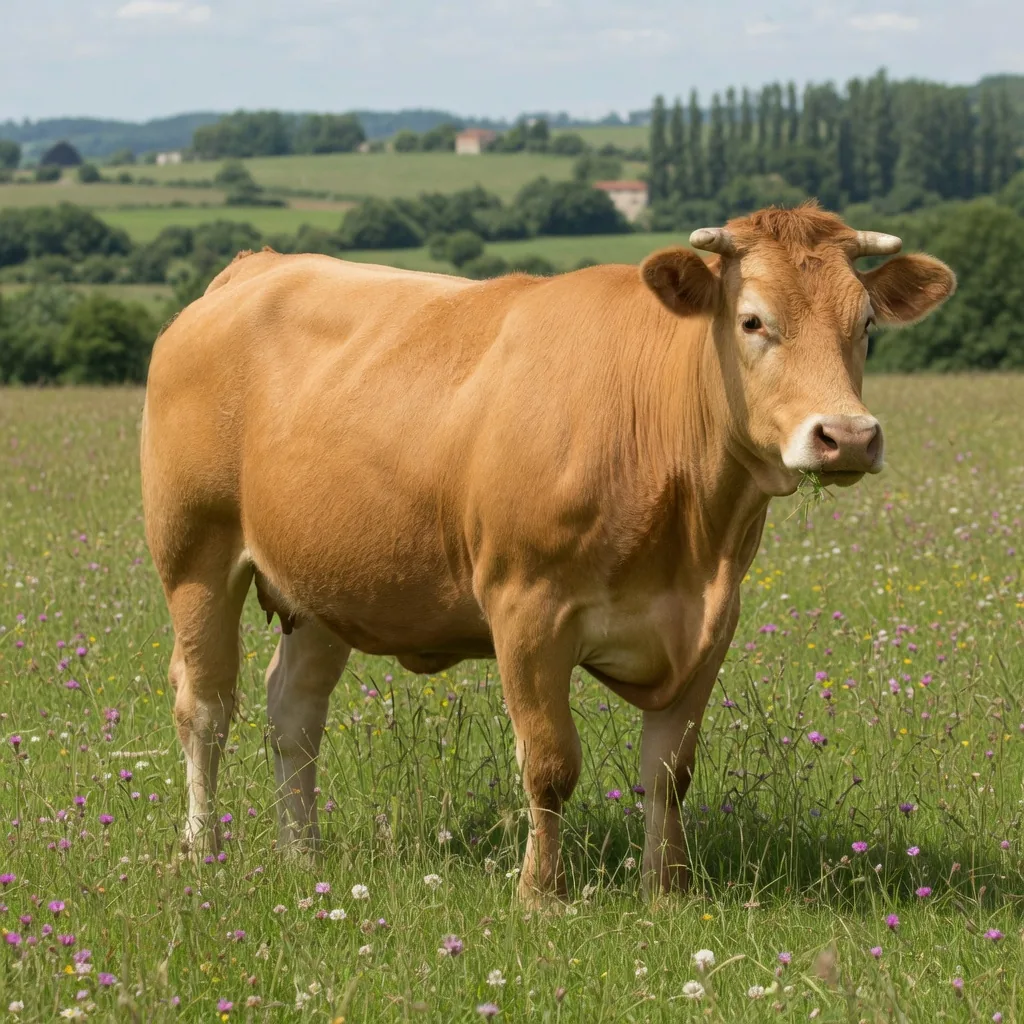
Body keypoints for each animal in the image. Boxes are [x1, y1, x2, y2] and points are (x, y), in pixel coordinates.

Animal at [140, 203, 955, 902]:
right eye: (753, 320)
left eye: (867, 324)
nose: (848, 436)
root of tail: (256, 266)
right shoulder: (527, 612)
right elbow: (551, 764)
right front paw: (542, 894)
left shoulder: (711, 623)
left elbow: (670, 771)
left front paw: (667, 891)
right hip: (196, 556)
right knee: (205, 706)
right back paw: (203, 848)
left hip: (323, 587)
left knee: (295, 713)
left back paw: (301, 854)